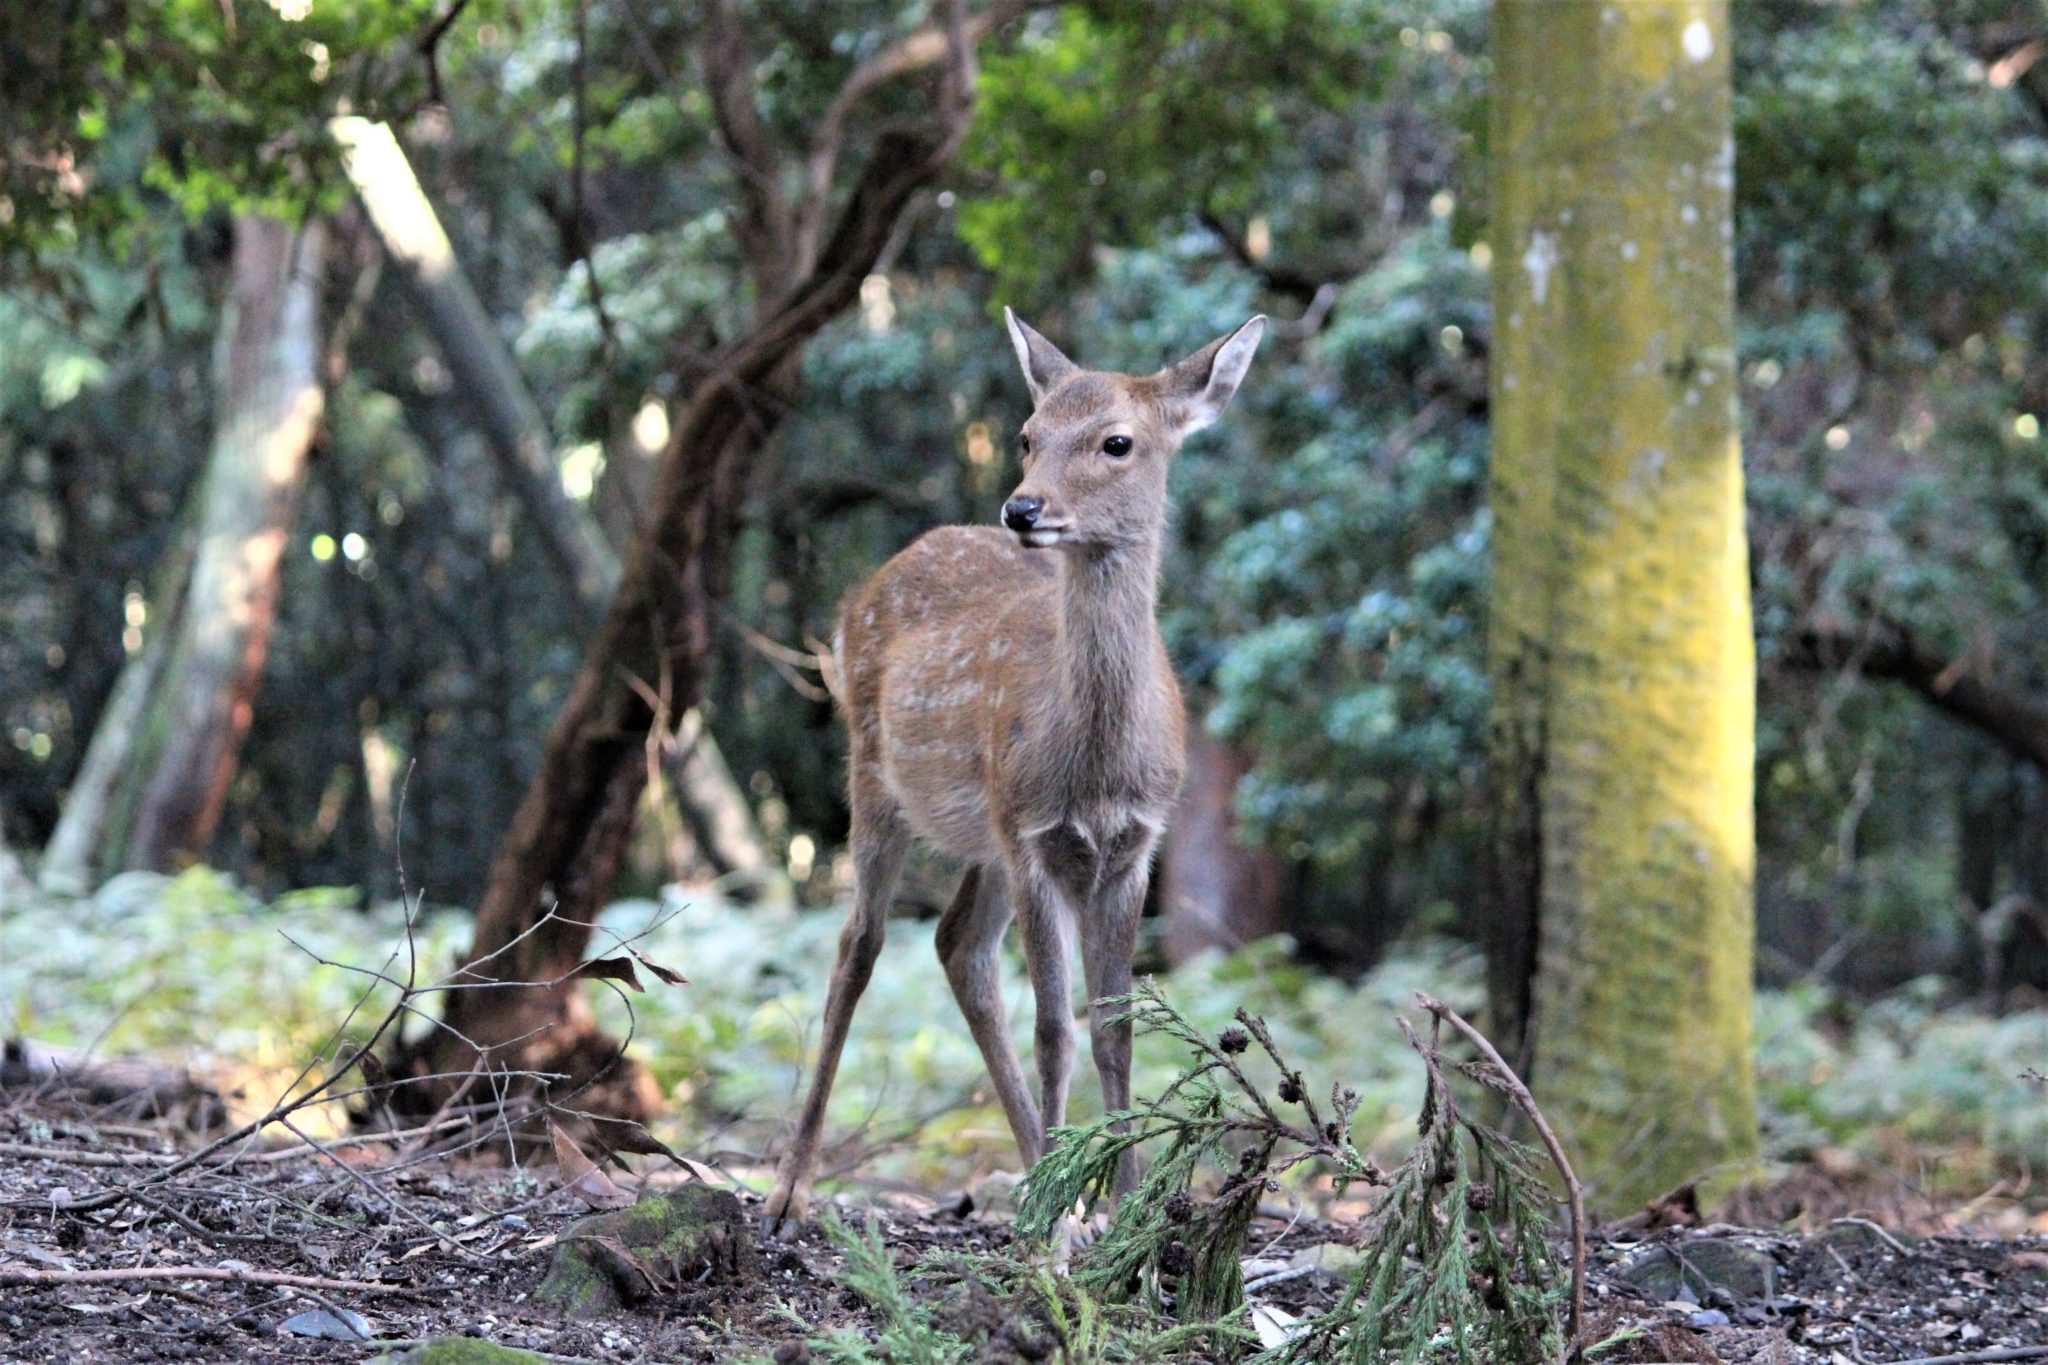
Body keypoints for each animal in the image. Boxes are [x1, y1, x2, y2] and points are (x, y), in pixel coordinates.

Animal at [761, 315, 1253, 1236]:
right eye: (1028, 435)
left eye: (1116, 441)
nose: (1023, 507)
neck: (1095, 762)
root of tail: (866, 585)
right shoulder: (1033, 835)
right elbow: (1055, 1029)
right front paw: (1064, 1225)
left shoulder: (1131, 845)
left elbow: (1113, 1029)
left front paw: (1119, 1207)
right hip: (877, 777)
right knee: (858, 944)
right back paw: (787, 1190)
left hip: (983, 832)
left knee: (957, 944)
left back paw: (1036, 1177)